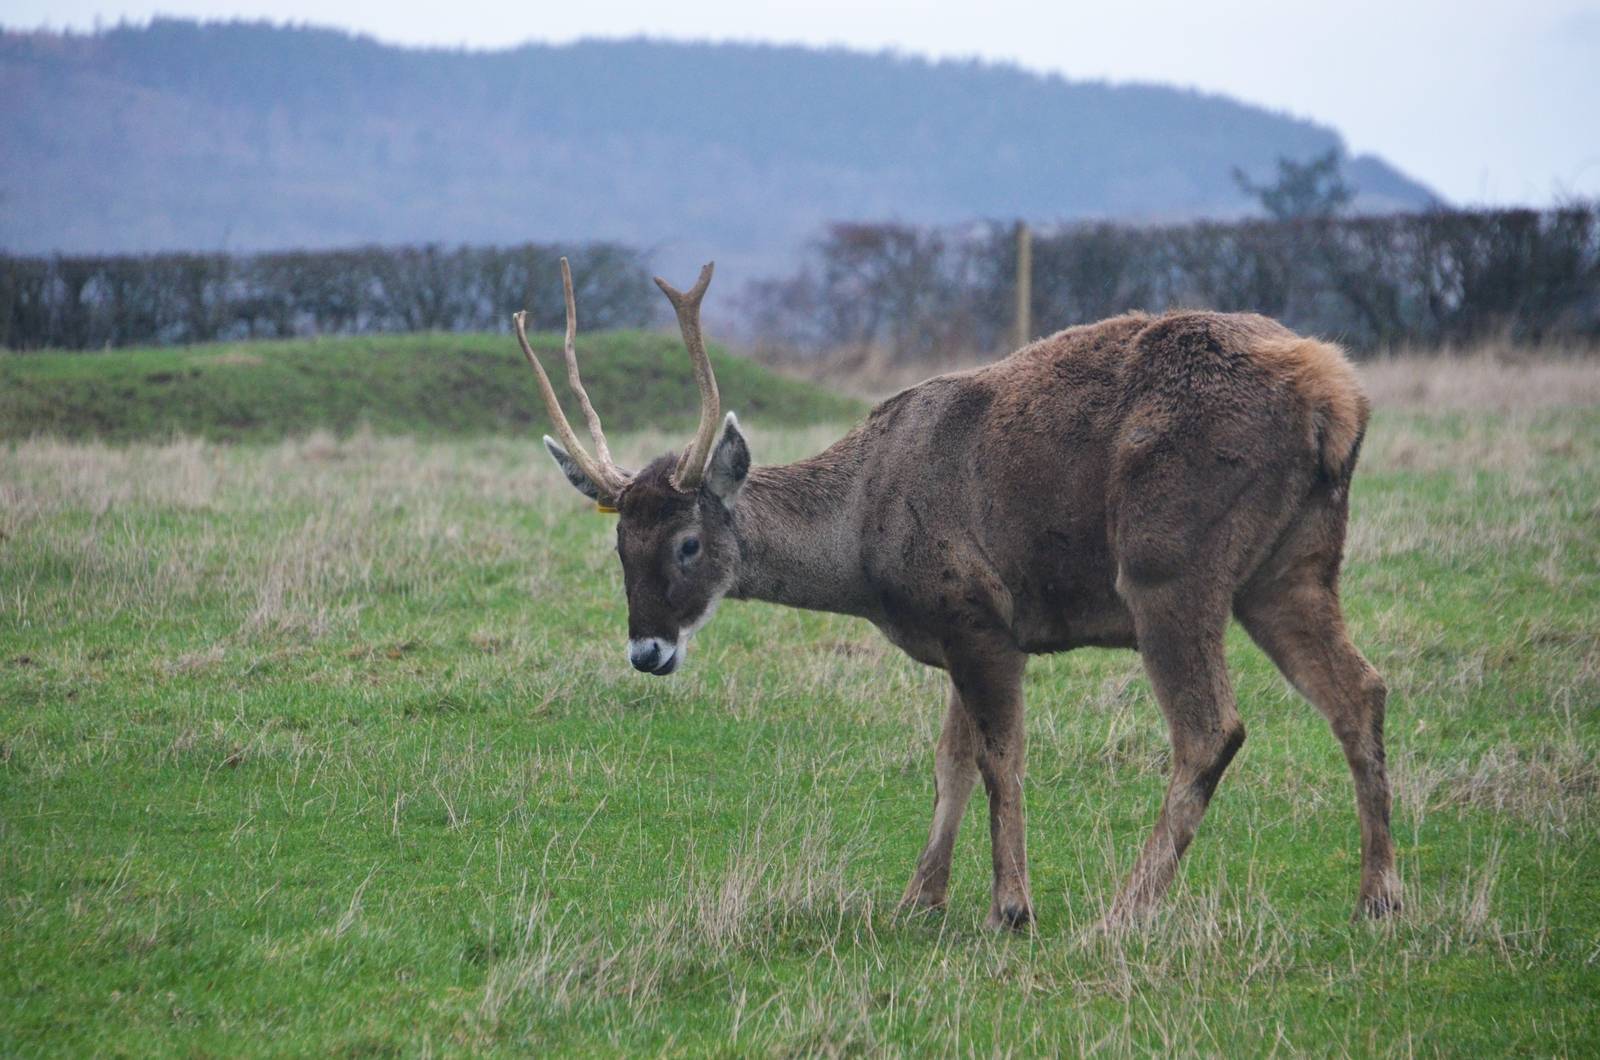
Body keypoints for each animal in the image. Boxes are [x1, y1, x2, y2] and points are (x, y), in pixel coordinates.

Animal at [518, 257, 1400, 930]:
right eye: (619, 545)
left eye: (688, 543)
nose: (646, 650)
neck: (865, 535)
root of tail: (1337, 396)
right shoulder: (955, 628)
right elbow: (951, 762)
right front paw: (920, 897)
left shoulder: (981, 615)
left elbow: (1001, 757)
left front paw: (1011, 906)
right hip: (1290, 566)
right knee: (1360, 690)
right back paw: (1380, 897)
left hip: (1168, 560)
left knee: (1211, 729)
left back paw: (1126, 909)